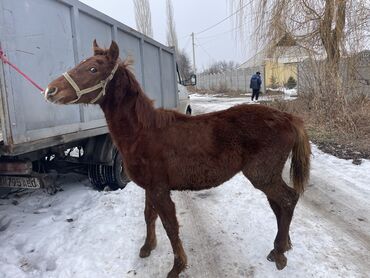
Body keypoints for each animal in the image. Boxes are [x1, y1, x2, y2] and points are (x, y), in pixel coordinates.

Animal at [46, 40, 312, 276]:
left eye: (93, 68)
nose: (51, 90)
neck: (144, 132)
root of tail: (289, 118)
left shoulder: (160, 189)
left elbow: (170, 225)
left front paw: (177, 267)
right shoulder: (149, 187)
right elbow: (149, 216)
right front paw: (147, 248)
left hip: (262, 175)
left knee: (288, 200)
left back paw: (280, 254)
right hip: (268, 176)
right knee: (278, 205)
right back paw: (281, 248)